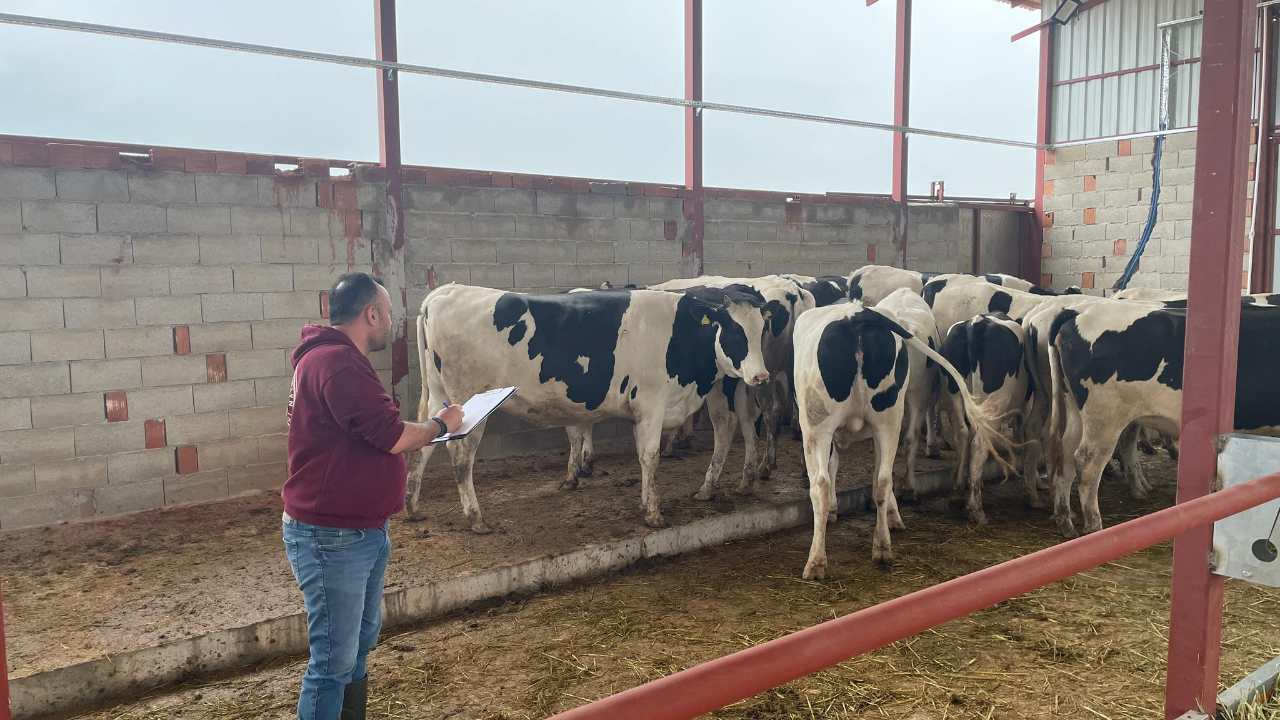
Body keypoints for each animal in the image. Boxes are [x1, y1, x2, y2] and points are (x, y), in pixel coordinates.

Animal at [409, 283, 768, 530]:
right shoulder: (651, 403)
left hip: (440, 397)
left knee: (424, 444)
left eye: (761, 331)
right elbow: (650, 457)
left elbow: (639, 455)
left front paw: (644, 502)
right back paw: (476, 518)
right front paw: (653, 513)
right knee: (461, 457)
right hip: (469, 403)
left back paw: (412, 508)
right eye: (734, 331)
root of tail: (445, 291)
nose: (760, 376)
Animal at [793, 299, 1013, 573]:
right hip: (888, 421)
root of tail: (856, 314)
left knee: (821, 485)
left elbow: (834, 468)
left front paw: (835, 509)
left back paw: (815, 562)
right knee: (884, 478)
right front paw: (893, 517)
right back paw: (882, 548)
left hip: (816, 425)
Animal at [1044, 301, 1280, 532]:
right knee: (1087, 465)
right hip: (1104, 418)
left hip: (1076, 412)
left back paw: (1065, 520)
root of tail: (1079, 311)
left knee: (1065, 456)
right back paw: (1094, 526)